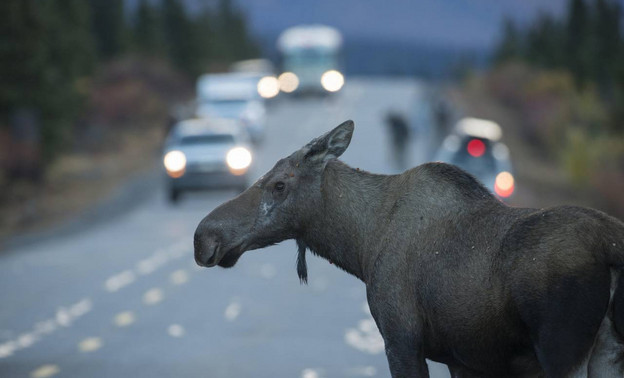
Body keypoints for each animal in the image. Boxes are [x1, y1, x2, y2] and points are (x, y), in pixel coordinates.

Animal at [194, 119, 624, 376]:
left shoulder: (401, 338)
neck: (361, 244)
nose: (204, 237)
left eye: (280, 184)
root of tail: (612, 247)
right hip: (607, 353)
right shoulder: (463, 358)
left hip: (562, 349)